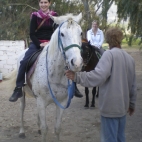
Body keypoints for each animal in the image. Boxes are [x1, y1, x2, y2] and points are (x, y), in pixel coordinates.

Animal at [12, 12, 82, 142]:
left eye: (80, 33)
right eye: (62, 34)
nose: (77, 63)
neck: (55, 73)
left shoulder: (62, 102)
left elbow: (57, 128)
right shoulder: (41, 101)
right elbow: (45, 129)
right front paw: (41, 129)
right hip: (23, 94)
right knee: (21, 108)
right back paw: (22, 131)